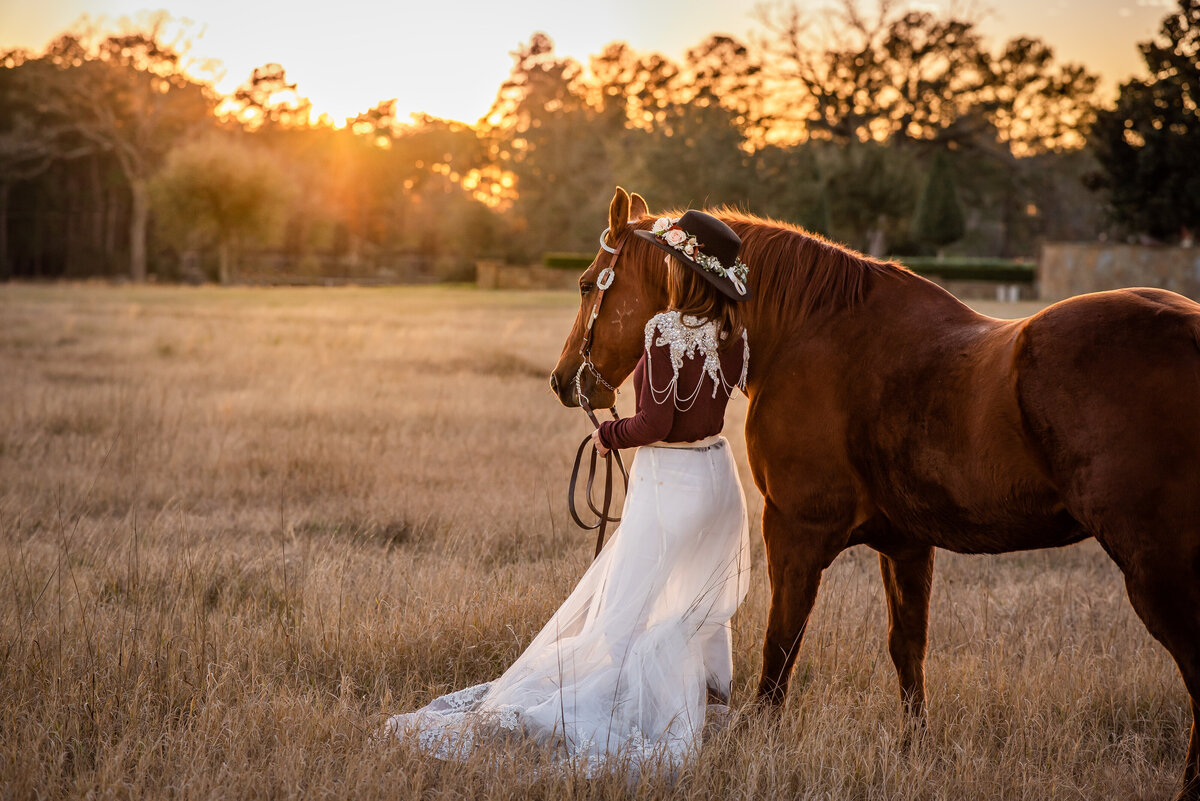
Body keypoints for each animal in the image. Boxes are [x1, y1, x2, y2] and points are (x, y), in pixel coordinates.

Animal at [552, 185, 1200, 796]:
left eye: (586, 285)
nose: (564, 382)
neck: (811, 332)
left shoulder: (794, 531)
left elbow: (781, 644)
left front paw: (756, 742)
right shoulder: (907, 544)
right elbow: (907, 649)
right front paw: (916, 751)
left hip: (1158, 572)